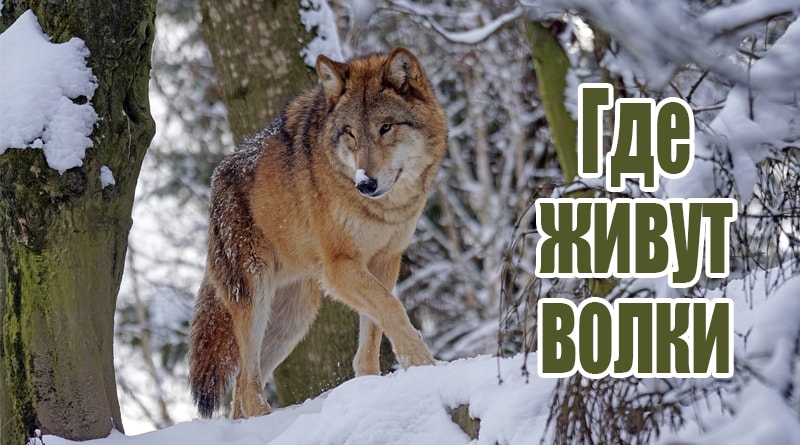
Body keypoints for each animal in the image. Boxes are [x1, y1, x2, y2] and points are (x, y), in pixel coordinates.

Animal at [188, 47, 448, 419]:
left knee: (241, 386)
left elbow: (374, 329)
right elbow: (393, 309)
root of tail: (217, 178)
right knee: (247, 383)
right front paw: (424, 365)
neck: (384, 210)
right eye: (350, 132)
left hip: (294, 317)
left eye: (386, 127)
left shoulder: (386, 261)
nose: (365, 183)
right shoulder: (340, 267)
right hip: (256, 295)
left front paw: (371, 385)